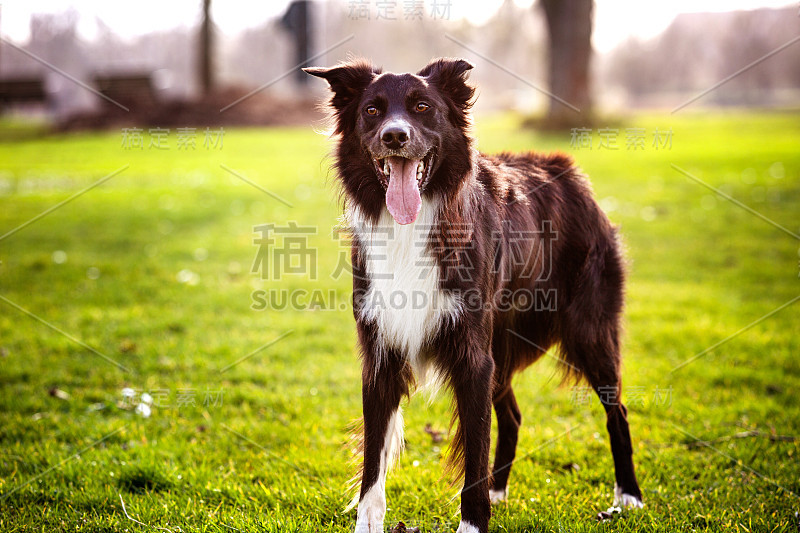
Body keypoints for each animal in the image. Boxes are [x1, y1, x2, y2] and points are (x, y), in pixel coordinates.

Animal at [304, 58, 644, 532]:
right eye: (371, 111)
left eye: (422, 107)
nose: (394, 136)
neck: (414, 227)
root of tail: (570, 172)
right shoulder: (381, 356)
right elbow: (374, 461)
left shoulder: (472, 357)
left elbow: (474, 448)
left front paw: (473, 522)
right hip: (499, 344)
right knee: (513, 415)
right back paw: (499, 491)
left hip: (588, 333)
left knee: (618, 412)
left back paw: (629, 495)